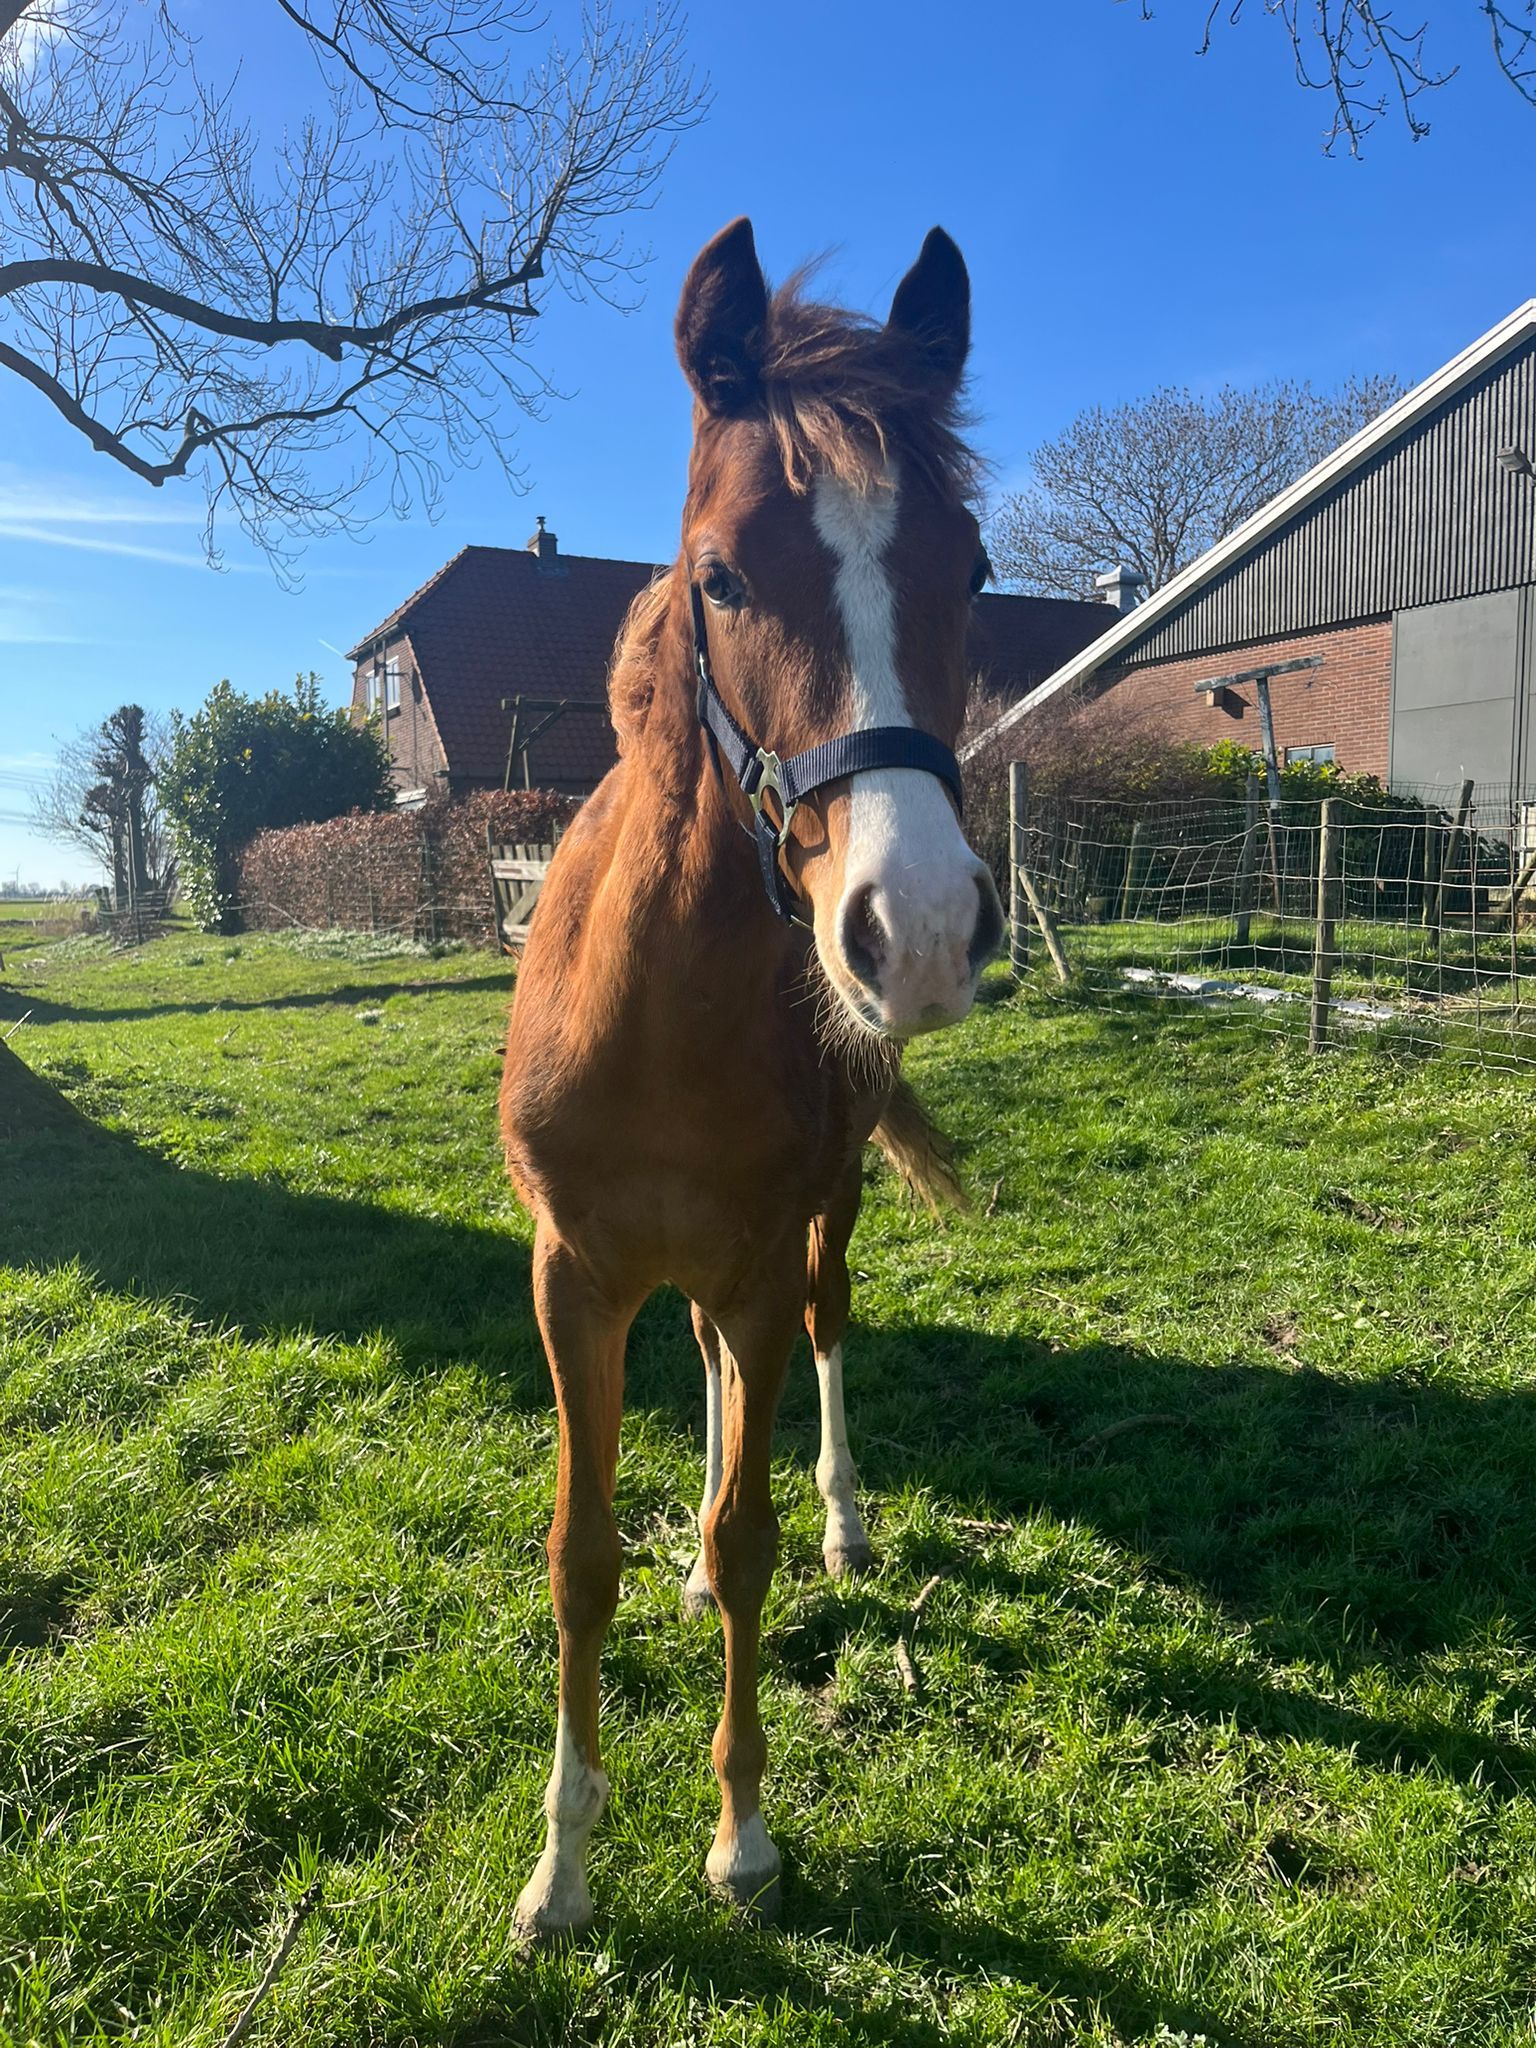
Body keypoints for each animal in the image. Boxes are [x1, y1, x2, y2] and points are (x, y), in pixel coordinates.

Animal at [500, 216, 1005, 1941]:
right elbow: (579, 1555)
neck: (661, 1016)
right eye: (719, 572)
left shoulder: (766, 1252)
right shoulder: (573, 1274)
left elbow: (753, 1529)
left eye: (972, 572)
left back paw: (846, 1517)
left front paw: (743, 1837)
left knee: (821, 1346)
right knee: (716, 1376)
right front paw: (564, 1866)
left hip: (818, 1228)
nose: (918, 929)